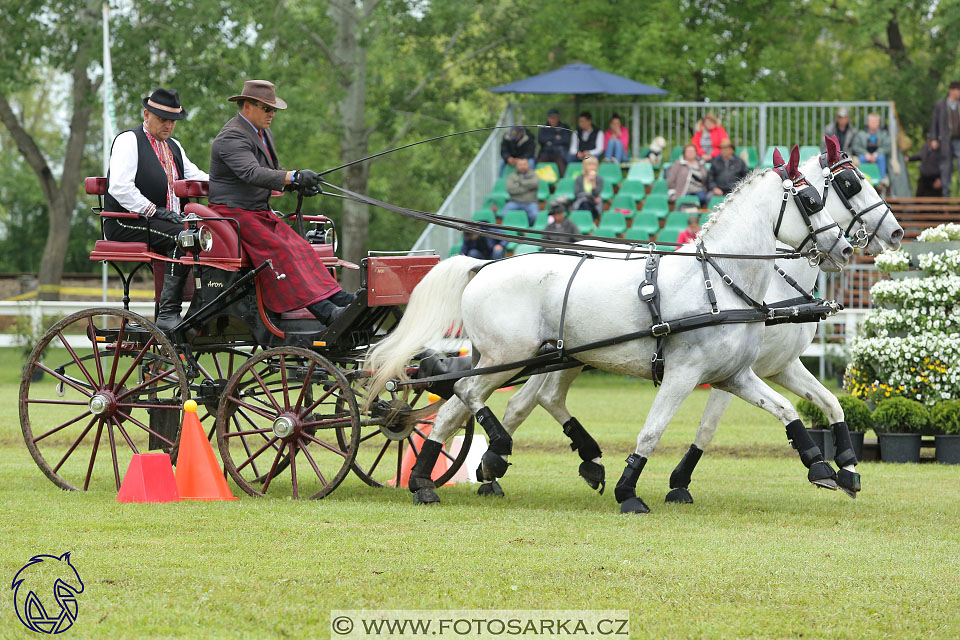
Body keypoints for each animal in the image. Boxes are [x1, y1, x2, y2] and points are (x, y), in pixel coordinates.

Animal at [368, 145, 856, 516]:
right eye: (813, 200)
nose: (846, 247)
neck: (719, 283)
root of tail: (485, 264)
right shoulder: (683, 374)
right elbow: (652, 432)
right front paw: (629, 492)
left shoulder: (734, 375)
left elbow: (786, 410)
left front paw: (824, 468)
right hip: (506, 359)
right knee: (467, 394)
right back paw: (497, 453)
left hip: (529, 359)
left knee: (453, 409)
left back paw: (427, 480)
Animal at [498, 141, 904, 504]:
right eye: (850, 183)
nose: (896, 232)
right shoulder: (728, 371)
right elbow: (707, 428)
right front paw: (678, 482)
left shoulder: (777, 366)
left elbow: (829, 402)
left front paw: (846, 469)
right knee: (524, 400)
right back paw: (501, 465)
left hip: (572, 356)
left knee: (535, 399)